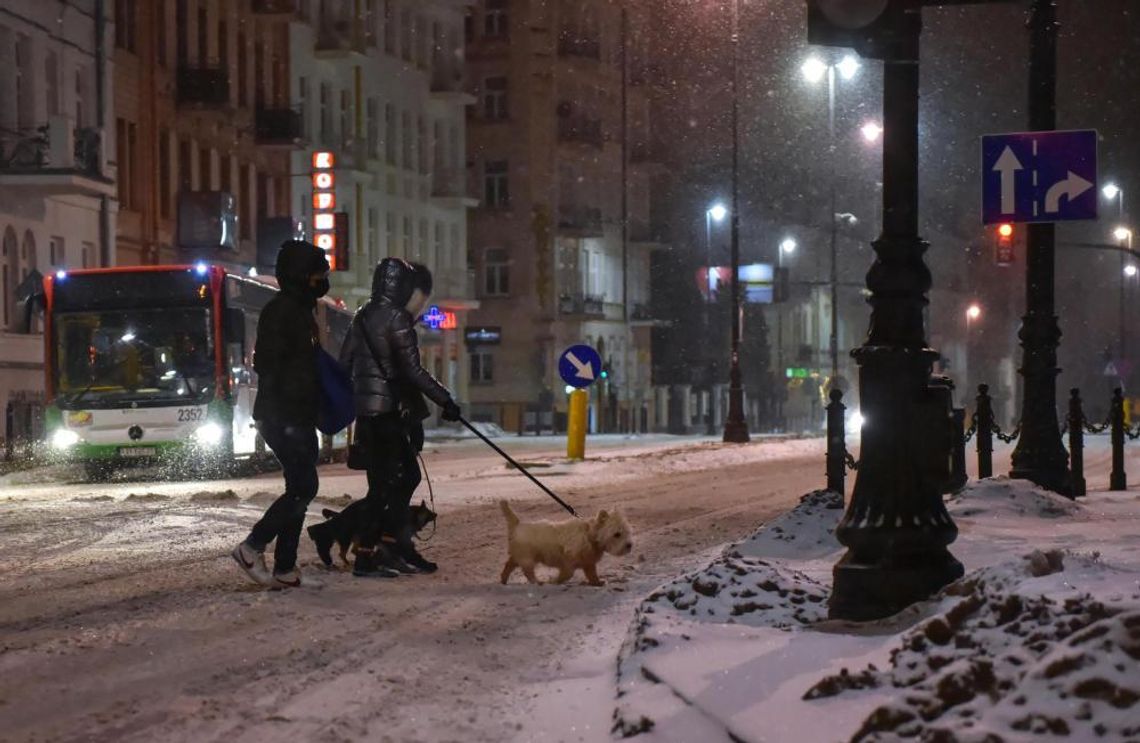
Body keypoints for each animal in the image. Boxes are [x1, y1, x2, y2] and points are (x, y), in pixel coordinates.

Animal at [497, 499, 633, 588]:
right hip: (527, 557)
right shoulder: (568, 562)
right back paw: (537, 582)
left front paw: (597, 583)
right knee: (527, 570)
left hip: (519, 555)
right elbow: (567, 574)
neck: (589, 535)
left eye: (628, 532)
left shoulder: (588, 563)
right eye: (617, 534)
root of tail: (517, 525)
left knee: (509, 564)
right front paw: (554, 581)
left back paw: (504, 580)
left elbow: (592, 574)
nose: (629, 545)